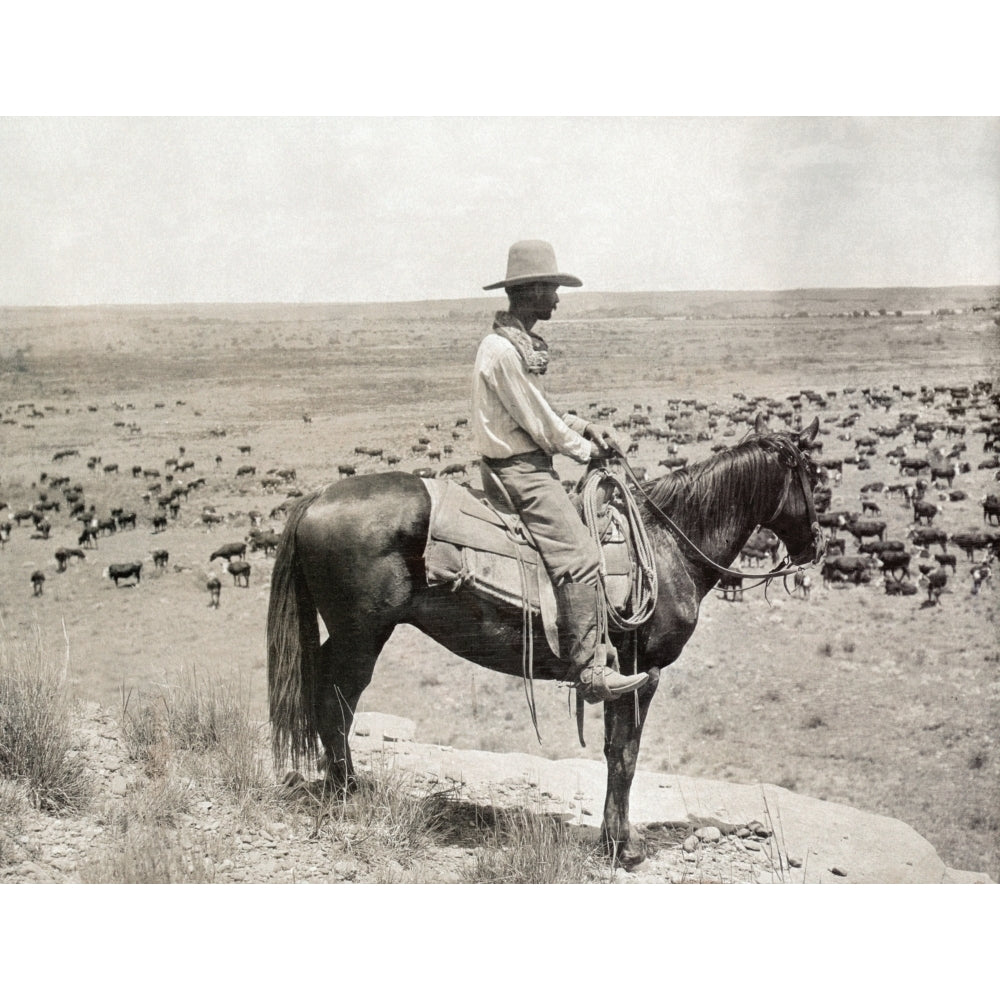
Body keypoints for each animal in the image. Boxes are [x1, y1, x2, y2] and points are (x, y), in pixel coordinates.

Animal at [266, 414, 820, 868]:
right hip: (361, 637)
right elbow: (626, 756)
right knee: (337, 702)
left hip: (348, 636)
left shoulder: (624, 676)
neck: (669, 547)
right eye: (813, 476)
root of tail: (317, 497)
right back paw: (348, 793)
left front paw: (612, 840)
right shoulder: (642, 674)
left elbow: (614, 752)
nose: (816, 546)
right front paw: (621, 848)